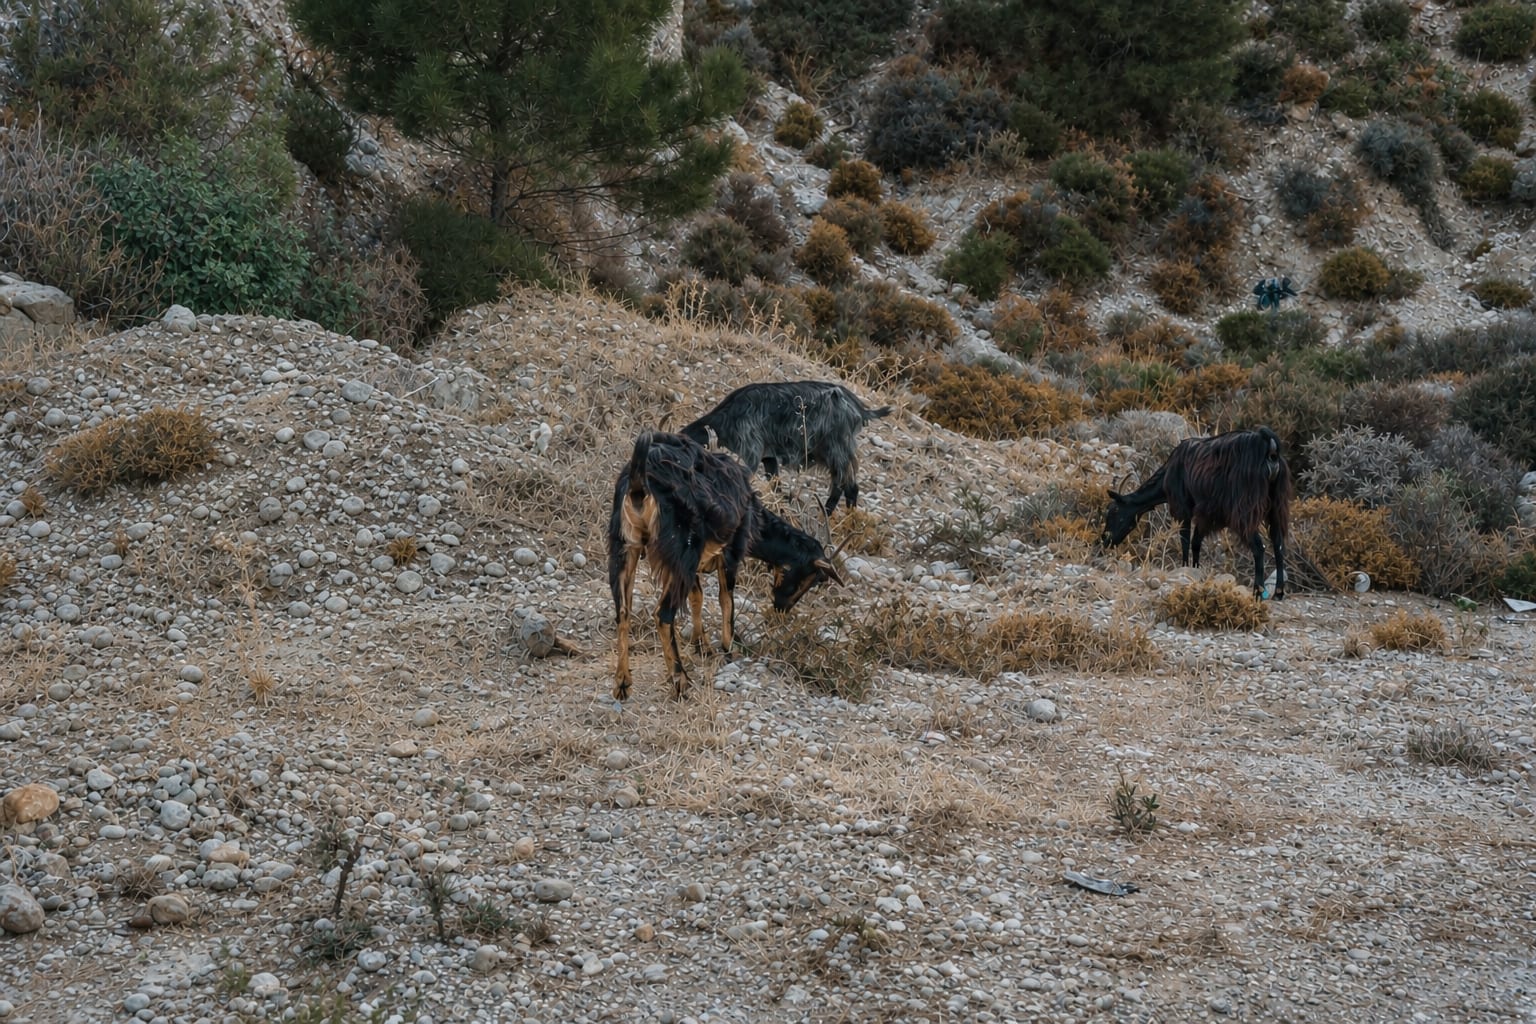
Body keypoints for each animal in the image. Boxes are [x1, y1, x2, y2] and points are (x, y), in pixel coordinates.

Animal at [609, 431, 844, 701]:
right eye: (816, 577)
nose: (781, 607)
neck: (754, 514)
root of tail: (640, 483)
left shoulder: (693, 564)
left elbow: (697, 596)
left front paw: (702, 645)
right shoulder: (731, 549)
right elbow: (726, 599)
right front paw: (727, 648)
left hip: (625, 546)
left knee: (623, 610)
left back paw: (622, 683)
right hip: (682, 547)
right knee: (663, 614)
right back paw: (681, 682)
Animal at [680, 381, 891, 515]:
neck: (727, 417)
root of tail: (859, 408)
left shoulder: (751, 451)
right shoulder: (769, 457)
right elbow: (775, 484)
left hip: (836, 450)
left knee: (849, 486)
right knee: (841, 485)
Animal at [1099, 426, 1293, 599]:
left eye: (1114, 511)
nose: (1105, 540)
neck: (1170, 472)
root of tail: (1270, 449)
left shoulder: (1184, 508)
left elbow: (1185, 540)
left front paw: (1184, 568)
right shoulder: (1206, 515)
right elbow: (1196, 542)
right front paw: (1195, 570)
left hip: (1243, 510)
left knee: (1259, 547)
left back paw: (1258, 592)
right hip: (1277, 507)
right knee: (1278, 544)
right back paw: (1279, 593)